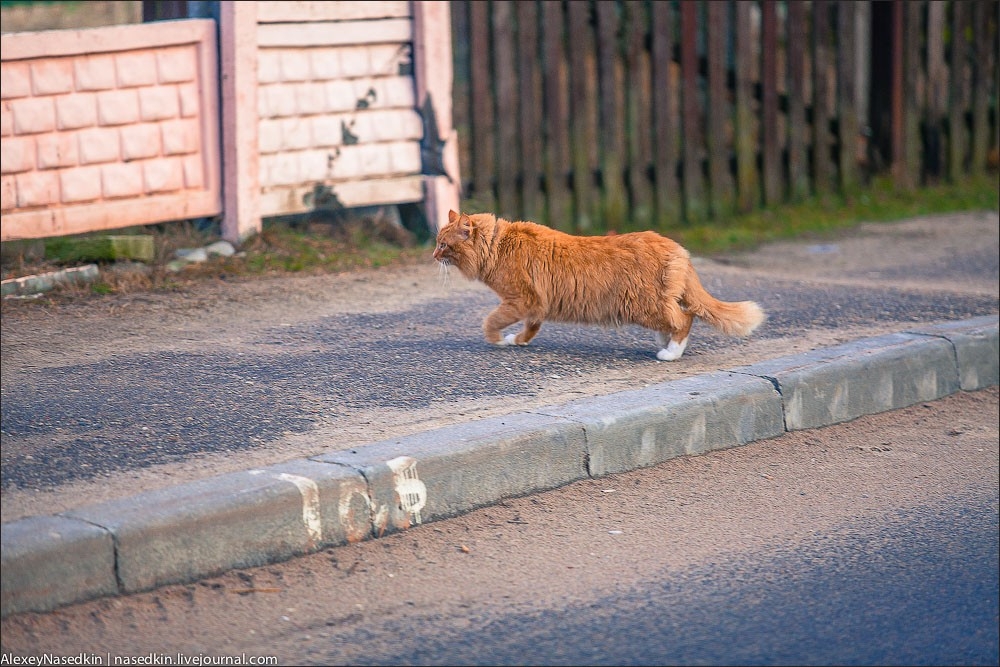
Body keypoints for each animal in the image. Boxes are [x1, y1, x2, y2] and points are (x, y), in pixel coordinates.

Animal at [432, 213, 764, 360]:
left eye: (443, 245)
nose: (433, 255)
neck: (498, 245)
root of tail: (676, 247)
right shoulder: (537, 306)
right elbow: (530, 328)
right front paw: (518, 341)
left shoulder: (520, 300)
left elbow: (491, 321)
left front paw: (499, 340)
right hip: (653, 305)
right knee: (675, 319)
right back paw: (664, 344)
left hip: (642, 306)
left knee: (685, 319)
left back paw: (670, 353)